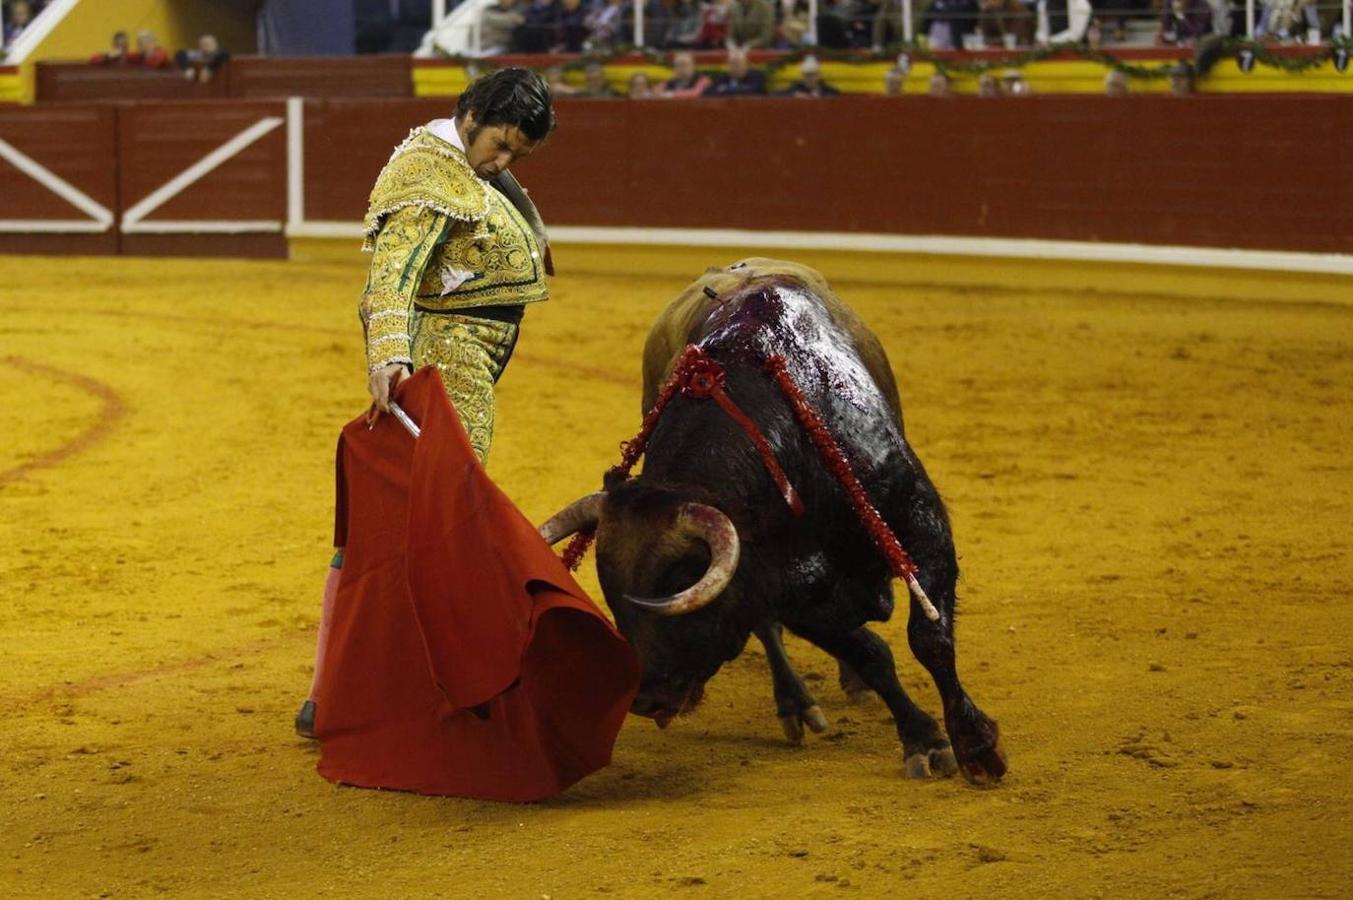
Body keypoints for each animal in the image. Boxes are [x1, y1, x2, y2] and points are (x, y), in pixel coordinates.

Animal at [543, 258, 1012, 779]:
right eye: (609, 592)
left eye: (681, 581)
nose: (645, 698)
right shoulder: (783, 592)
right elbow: (871, 652)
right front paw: (923, 740)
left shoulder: (922, 527)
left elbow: (928, 638)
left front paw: (975, 745)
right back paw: (795, 703)